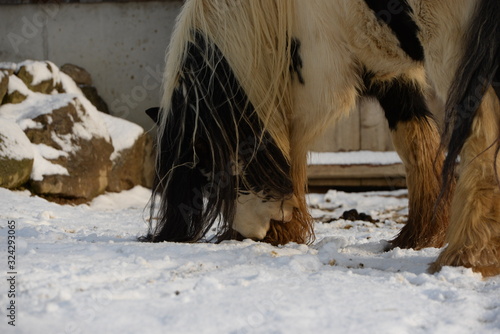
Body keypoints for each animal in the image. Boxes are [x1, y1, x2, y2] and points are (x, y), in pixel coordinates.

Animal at [143, 0, 498, 276]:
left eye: (208, 167)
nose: (250, 234)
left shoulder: (316, 78)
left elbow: (290, 149)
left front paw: (285, 230)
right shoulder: (391, 74)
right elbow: (417, 142)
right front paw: (418, 237)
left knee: (479, 140)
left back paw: (468, 256)